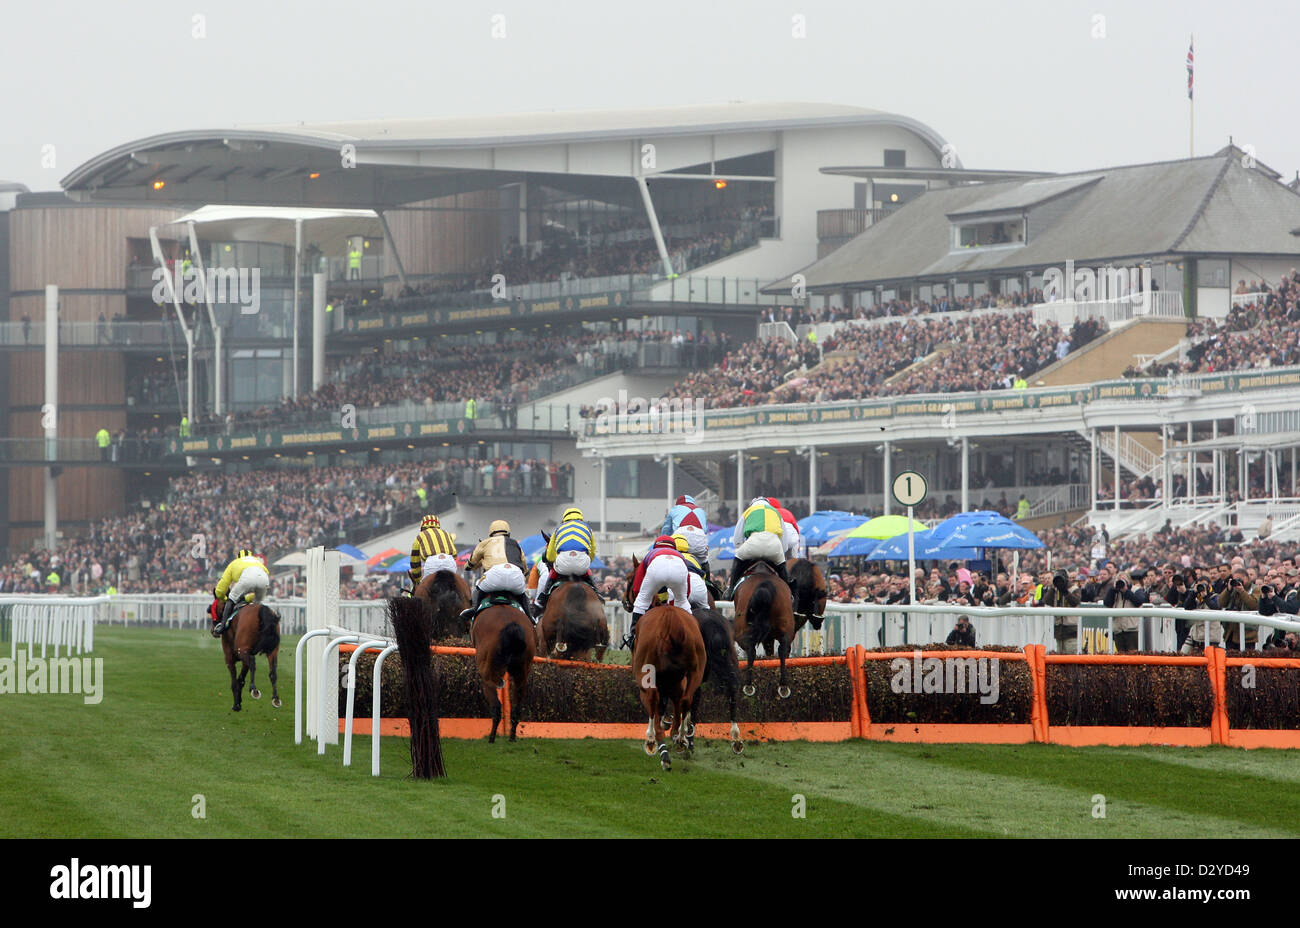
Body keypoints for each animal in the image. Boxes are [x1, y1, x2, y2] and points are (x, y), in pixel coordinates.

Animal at [470, 600, 535, 743]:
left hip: (488, 674)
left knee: (496, 706)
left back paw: (491, 738)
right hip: (521, 673)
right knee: (516, 708)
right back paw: (512, 737)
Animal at [626, 600, 702, 764]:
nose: (624, 602)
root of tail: (670, 618)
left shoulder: (646, 687)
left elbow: (655, 709)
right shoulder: (675, 686)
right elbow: (677, 706)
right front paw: (676, 732)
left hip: (646, 676)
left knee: (653, 700)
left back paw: (657, 745)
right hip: (696, 671)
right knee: (686, 700)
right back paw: (681, 738)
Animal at [728, 556, 795, 701]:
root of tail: (764, 586)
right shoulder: (769, 638)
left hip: (741, 631)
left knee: (750, 650)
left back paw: (748, 685)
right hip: (786, 626)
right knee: (783, 649)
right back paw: (783, 686)